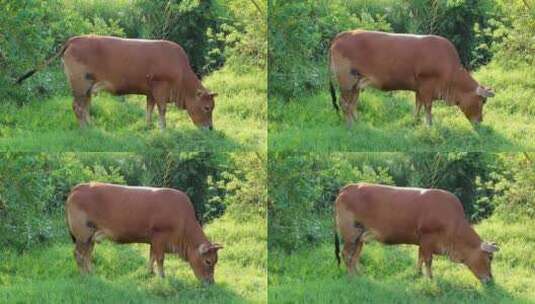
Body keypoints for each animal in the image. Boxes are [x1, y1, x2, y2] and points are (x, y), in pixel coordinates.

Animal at [16, 35, 218, 129]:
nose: (210, 128)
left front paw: (148, 126)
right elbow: (161, 110)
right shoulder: (161, 88)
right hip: (80, 84)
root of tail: (75, 39)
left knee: (85, 105)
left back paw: (91, 126)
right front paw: (163, 129)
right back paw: (85, 129)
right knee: (78, 106)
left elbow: (149, 108)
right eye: (207, 107)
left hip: (87, 86)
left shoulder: (150, 91)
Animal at [66, 183, 223, 284]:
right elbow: (160, 258)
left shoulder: (153, 241)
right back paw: (84, 275)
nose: (211, 282)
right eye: (208, 261)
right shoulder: (160, 237)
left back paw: (91, 273)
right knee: (79, 254)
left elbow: (151, 256)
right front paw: (162, 277)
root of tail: (79, 187)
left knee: (87, 254)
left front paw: (150, 273)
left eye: (215, 260)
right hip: (83, 234)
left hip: (90, 236)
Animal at [328, 30, 496, 127]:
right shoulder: (427, 87)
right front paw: (429, 125)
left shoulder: (419, 88)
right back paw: (350, 125)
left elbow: (418, 105)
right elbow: (427, 107)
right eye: (482, 101)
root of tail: (342, 35)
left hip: (356, 83)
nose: (480, 121)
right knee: (344, 103)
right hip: (346, 80)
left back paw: (358, 122)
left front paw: (415, 121)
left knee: (352, 103)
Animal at [336, 182, 498, 284]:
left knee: (354, 256)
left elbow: (420, 258)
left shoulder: (422, 242)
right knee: (346, 255)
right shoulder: (428, 239)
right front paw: (430, 279)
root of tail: (348, 188)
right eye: (489, 257)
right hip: (350, 234)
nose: (490, 279)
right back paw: (351, 277)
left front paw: (418, 274)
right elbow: (428, 261)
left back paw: (359, 275)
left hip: (359, 237)